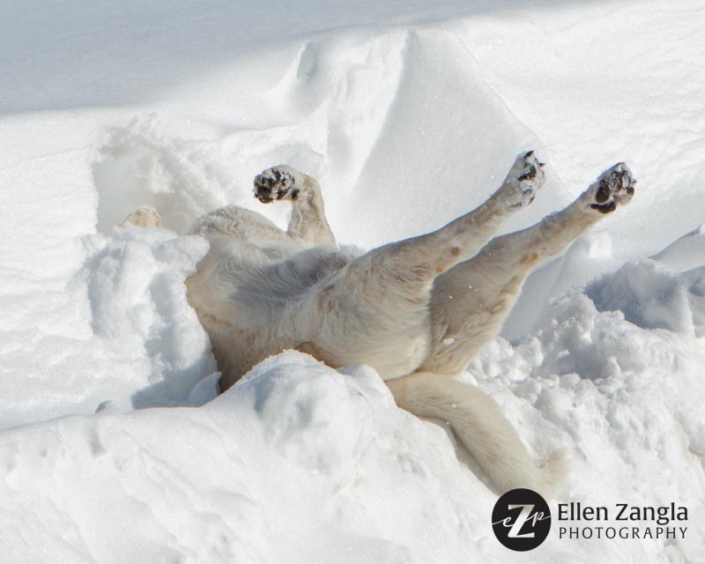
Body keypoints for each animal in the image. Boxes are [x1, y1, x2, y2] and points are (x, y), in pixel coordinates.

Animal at [124, 151, 636, 494]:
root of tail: (392, 383)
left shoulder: (310, 239)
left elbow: (313, 208)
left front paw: (282, 180)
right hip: (390, 274)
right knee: (466, 237)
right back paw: (524, 186)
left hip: (444, 284)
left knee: (525, 241)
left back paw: (603, 192)